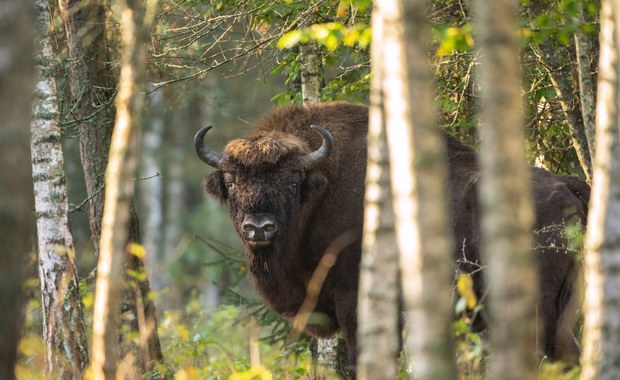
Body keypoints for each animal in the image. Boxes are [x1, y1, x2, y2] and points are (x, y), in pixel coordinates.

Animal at [193, 100, 588, 374]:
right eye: (231, 181)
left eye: (292, 180)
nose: (259, 227)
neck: (321, 188)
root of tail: (568, 185)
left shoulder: (354, 298)